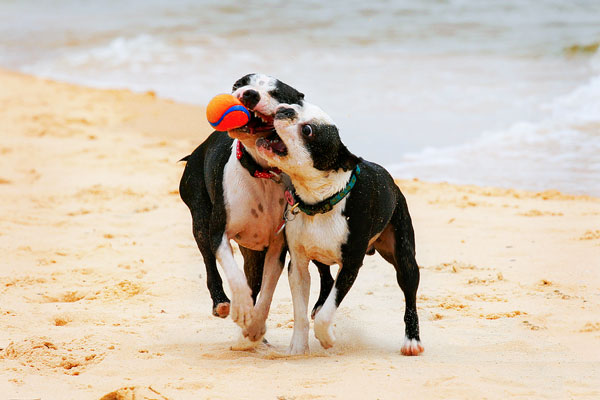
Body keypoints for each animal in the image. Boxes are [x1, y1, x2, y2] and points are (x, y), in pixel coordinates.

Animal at [178, 73, 332, 342]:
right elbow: (234, 274)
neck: (262, 171)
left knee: (322, 274)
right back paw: (222, 302)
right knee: (210, 262)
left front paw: (255, 325)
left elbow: (267, 291)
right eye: (239, 84)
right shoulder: (219, 234)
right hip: (200, 219)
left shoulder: (277, 249)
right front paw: (242, 309)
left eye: (277, 93)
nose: (249, 94)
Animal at [255, 101, 424, 354]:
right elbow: (301, 311)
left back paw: (412, 341)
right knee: (325, 276)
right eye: (298, 105)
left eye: (308, 131)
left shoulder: (351, 265)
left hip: (403, 254)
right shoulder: (298, 266)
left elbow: (327, 313)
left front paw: (327, 338)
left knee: (409, 292)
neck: (321, 200)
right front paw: (298, 346)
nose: (285, 109)